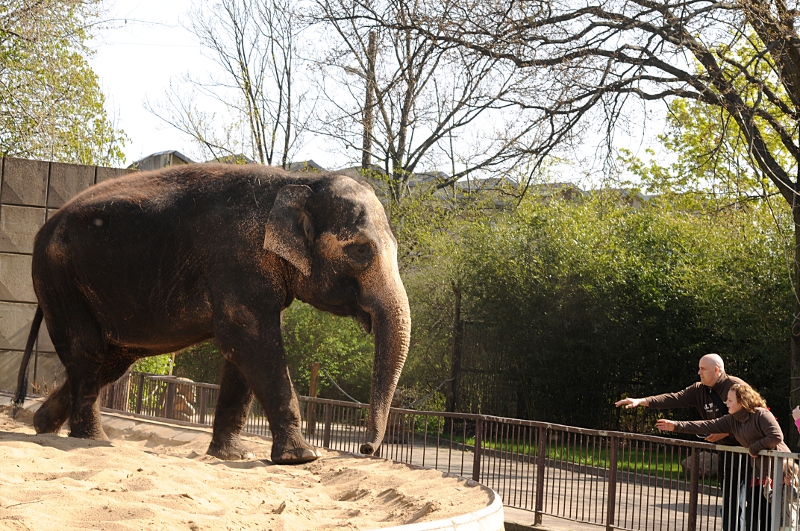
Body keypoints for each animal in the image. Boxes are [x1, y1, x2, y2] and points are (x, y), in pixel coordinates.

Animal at [12, 164, 411, 464]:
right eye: (360, 250)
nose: (366, 448)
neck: (297, 181)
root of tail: (43, 227)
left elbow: (241, 352)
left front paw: (231, 456)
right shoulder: (236, 259)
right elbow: (250, 339)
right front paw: (302, 458)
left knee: (110, 361)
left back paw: (43, 426)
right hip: (60, 278)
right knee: (88, 350)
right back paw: (91, 440)